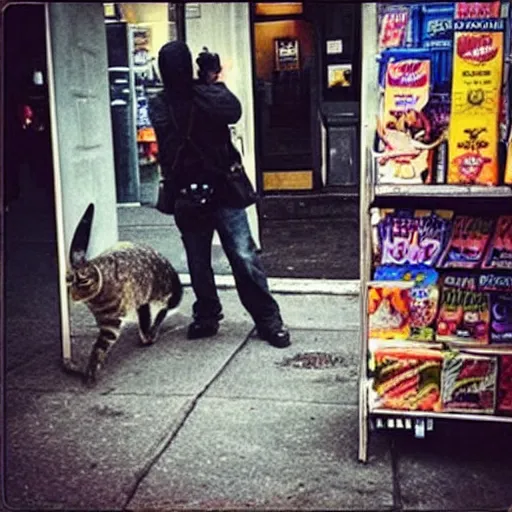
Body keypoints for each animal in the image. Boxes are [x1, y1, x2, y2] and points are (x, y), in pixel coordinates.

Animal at [65, 243, 182, 384]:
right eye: (68, 281)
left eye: (84, 281)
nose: (74, 294)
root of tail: (166, 262)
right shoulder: (108, 324)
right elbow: (98, 348)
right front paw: (91, 369)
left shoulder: (111, 323)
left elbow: (99, 348)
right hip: (142, 300)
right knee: (147, 316)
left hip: (160, 295)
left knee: (163, 310)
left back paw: (152, 332)